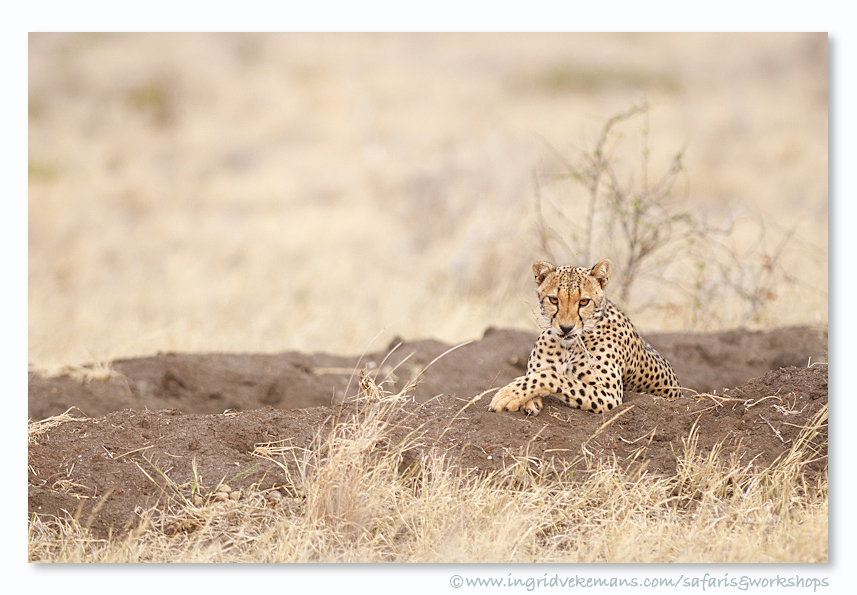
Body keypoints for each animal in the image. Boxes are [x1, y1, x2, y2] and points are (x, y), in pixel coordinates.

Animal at [488, 258, 684, 416]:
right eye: (554, 300)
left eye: (583, 301)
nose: (566, 328)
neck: (569, 345)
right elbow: (536, 375)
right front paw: (525, 400)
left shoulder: (609, 395)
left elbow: (551, 377)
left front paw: (507, 395)